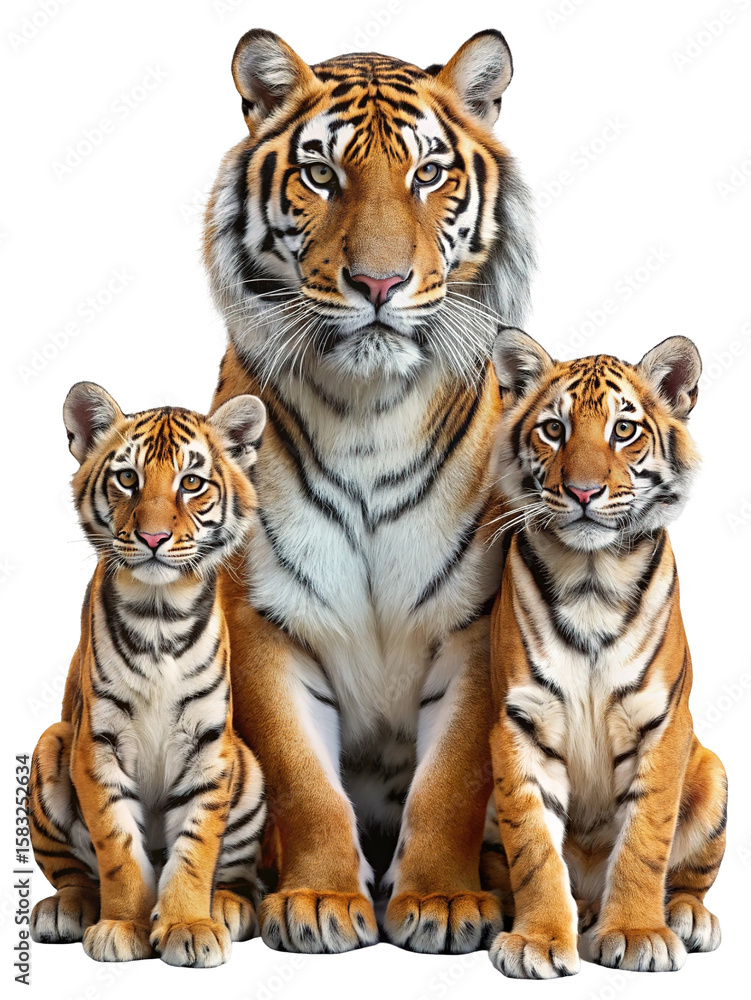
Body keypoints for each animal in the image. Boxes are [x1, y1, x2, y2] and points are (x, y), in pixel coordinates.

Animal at [28, 382, 268, 967]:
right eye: (128, 478)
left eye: (192, 483)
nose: (155, 537)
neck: (160, 613)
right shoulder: (97, 745)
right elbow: (117, 848)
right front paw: (122, 926)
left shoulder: (209, 746)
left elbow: (196, 849)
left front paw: (189, 926)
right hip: (51, 743)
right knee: (73, 873)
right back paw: (67, 908)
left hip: (247, 764)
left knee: (233, 871)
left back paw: (227, 906)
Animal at [203, 27, 535, 952]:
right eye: (322, 174)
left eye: (427, 173)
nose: (379, 285)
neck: (367, 413)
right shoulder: (266, 618)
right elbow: (302, 780)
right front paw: (318, 900)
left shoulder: (473, 621)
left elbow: (451, 778)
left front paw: (443, 901)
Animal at [485, 329, 727, 977]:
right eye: (553, 429)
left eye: (623, 429)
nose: (584, 491)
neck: (591, 576)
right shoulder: (521, 723)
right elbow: (534, 848)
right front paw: (539, 940)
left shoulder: (662, 724)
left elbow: (645, 837)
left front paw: (639, 933)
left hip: (714, 773)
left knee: (690, 878)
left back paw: (687, 917)